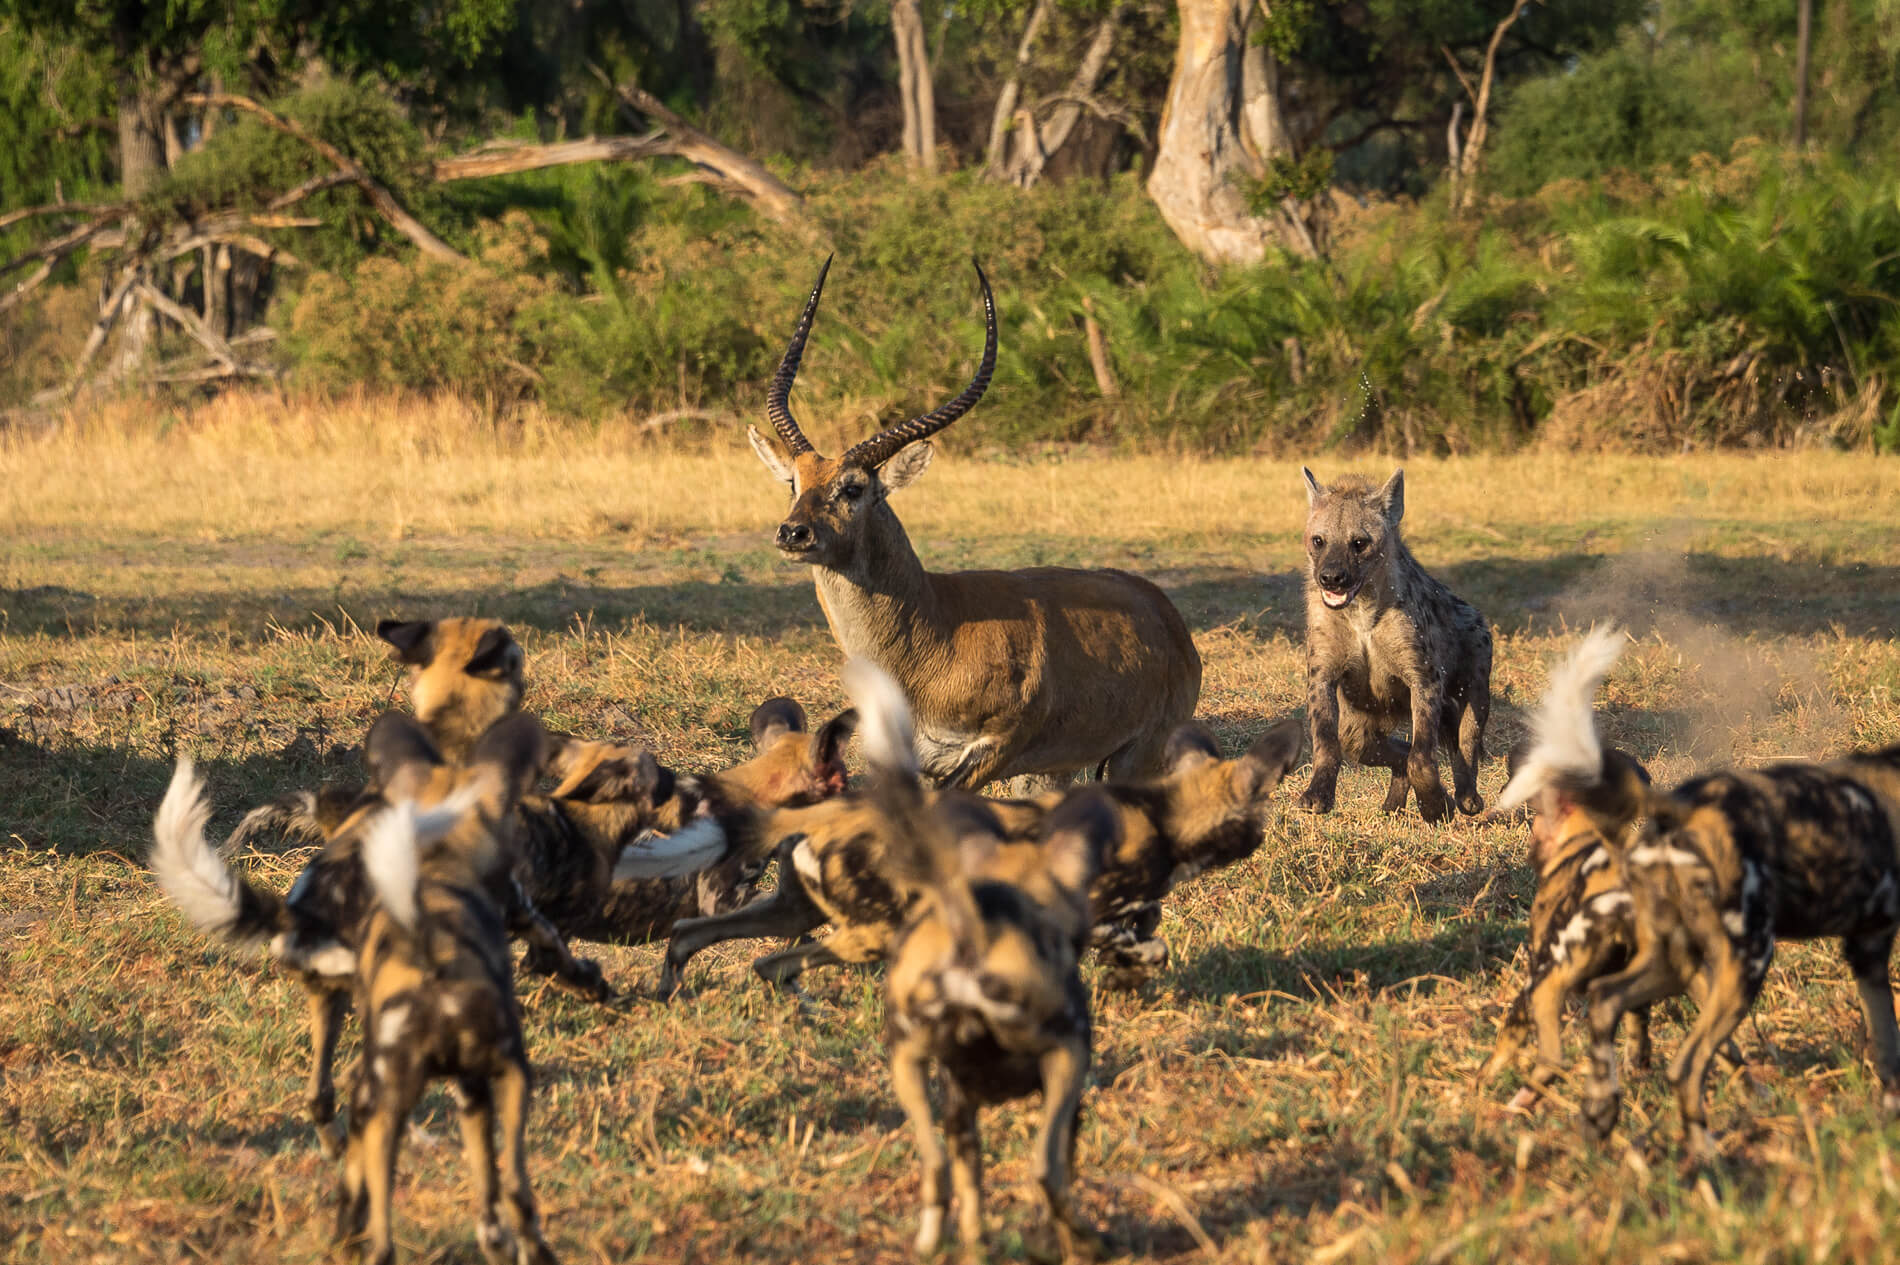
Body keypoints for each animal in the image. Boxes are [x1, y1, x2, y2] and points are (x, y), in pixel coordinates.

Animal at [657, 710, 1307, 995]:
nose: (1262, 839)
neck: (1161, 813)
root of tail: (826, 810)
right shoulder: (1093, 921)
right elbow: (1147, 949)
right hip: (871, 934)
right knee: (777, 963)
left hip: (792, 912)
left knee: (713, 942)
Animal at [744, 258, 1200, 790]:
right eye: (794, 482)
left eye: (853, 487)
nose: (792, 533)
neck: (934, 632)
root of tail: (1166, 614)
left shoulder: (992, 750)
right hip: (1053, 771)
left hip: (1133, 761)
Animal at [851, 660, 1109, 1261]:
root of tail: (971, 925)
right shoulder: (1066, 1090)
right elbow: (1055, 1178)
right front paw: (1063, 1239)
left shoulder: (958, 1112)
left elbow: (970, 1194)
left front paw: (978, 1244)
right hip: (1066, 1057)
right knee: (1044, 1173)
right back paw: (1090, 1240)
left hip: (907, 1069)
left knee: (937, 1170)